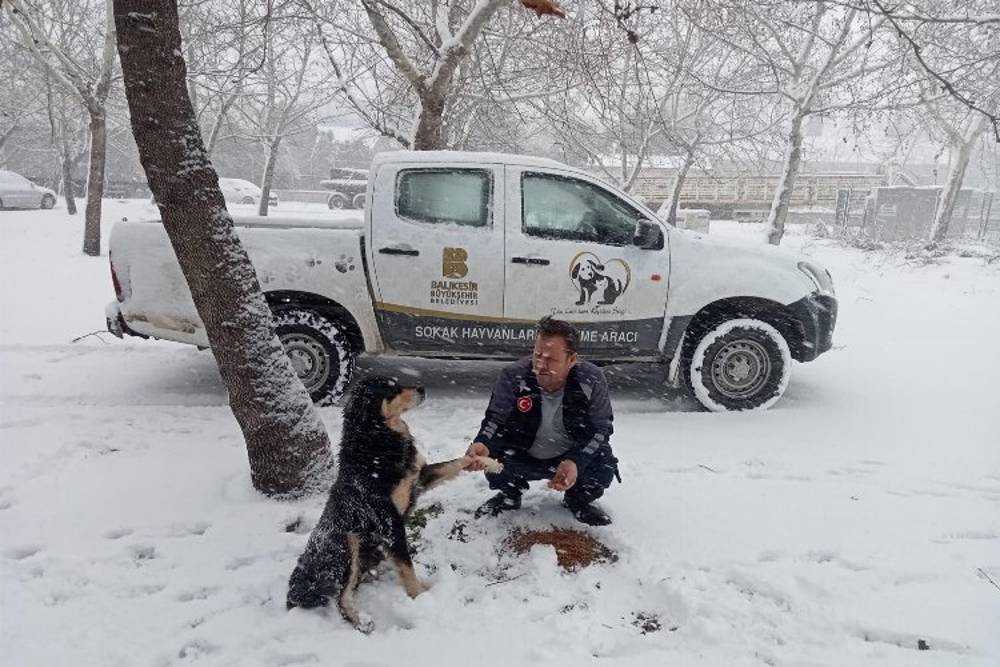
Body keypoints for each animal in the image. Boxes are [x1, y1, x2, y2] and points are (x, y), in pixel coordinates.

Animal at [284, 376, 498, 632]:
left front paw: (490, 463)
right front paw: (420, 597)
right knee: (341, 598)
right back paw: (362, 621)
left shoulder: (419, 478)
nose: (422, 388)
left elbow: (458, 461)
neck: (378, 442)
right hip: (347, 544)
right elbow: (406, 565)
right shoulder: (388, 520)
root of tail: (296, 585)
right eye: (391, 390)